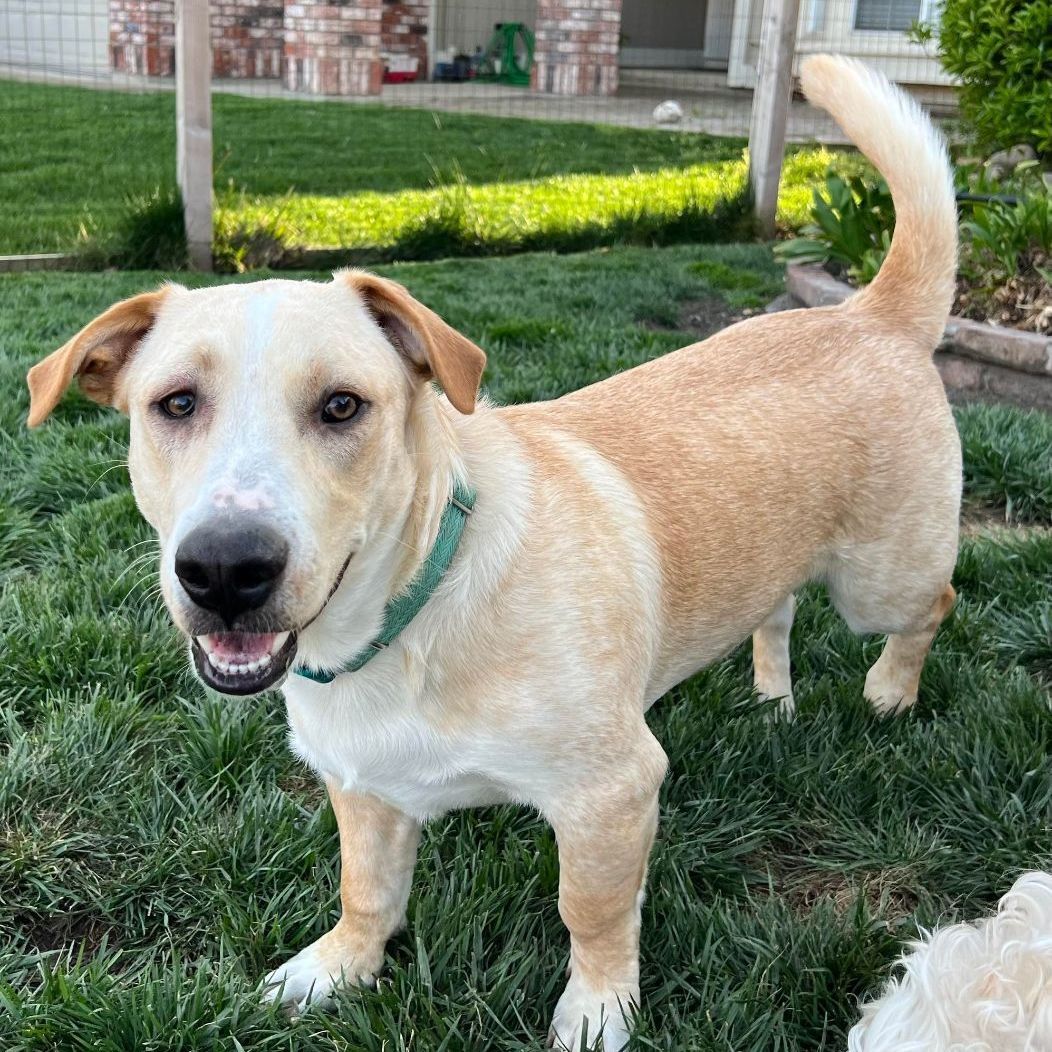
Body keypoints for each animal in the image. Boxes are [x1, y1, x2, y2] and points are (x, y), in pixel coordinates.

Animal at [26, 55, 963, 1052]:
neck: (405, 624)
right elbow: (365, 892)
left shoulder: (611, 792)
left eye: (342, 406)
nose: (225, 570)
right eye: (175, 403)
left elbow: (591, 912)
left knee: (929, 607)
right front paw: (335, 968)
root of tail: (867, 312)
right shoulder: (363, 786)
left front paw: (598, 1011)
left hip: (880, 580)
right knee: (776, 606)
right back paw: (772, 696)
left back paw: (890, 693)